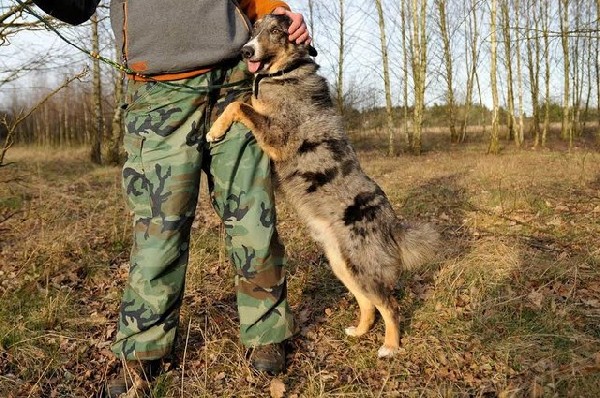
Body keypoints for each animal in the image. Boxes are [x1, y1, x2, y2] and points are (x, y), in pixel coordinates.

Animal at [206, 14, 436, 358]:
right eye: (255, 28)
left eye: (277, 31)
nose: (246, 51)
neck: (286, 72)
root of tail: (391, 221)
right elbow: (241, 100)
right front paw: (215, 126)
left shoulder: (277, 137)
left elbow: (239, 105)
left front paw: (213, 130)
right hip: (343, 265)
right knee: (369, 304)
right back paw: (359, 331)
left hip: (363, 267)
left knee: (389, 305)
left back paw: (390, 346)